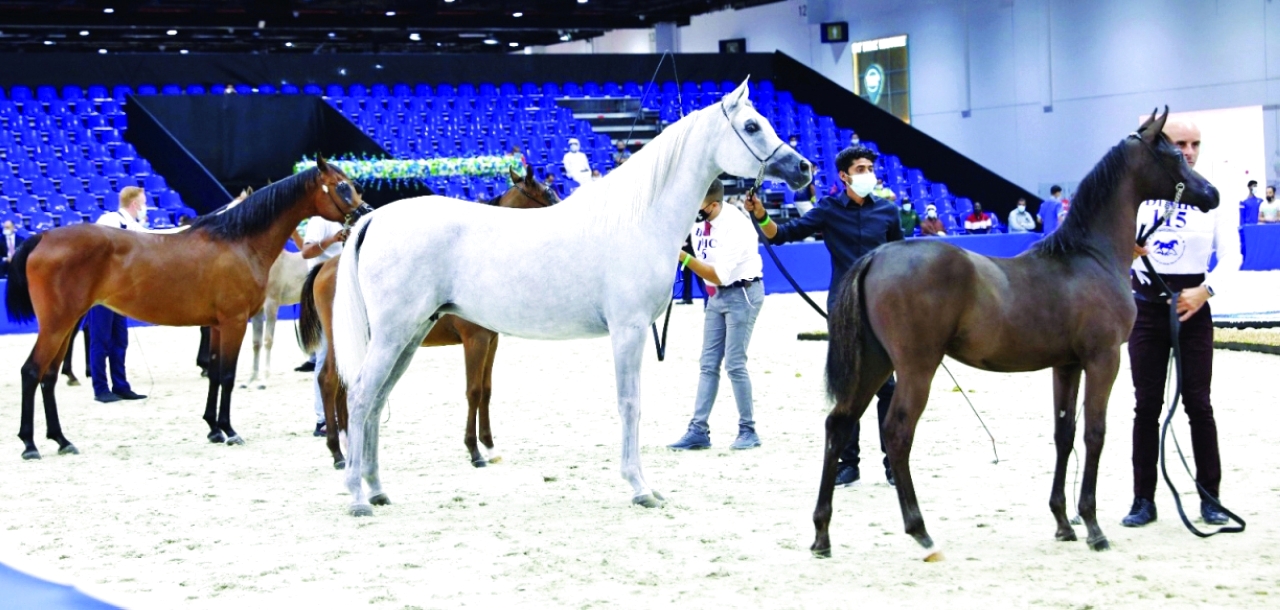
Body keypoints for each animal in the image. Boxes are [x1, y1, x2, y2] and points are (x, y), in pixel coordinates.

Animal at [8, 156, 371, 455]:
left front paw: (213, 428)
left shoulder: (216, 324)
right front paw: (229, 430)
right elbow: (228, 375)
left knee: (49, 376)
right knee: (30, 372)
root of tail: (43, 237)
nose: (365, 213)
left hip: (66, 324)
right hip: (57, 325)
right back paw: (29, 444)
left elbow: (214, 372)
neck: (238, 240)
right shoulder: (235, 321)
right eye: (342, 187)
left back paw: (61, 439)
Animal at [299, 163, 560, 468]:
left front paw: (489, 446)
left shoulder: (491, 342)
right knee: (329, 380)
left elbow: (486, 390)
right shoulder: (475, 341)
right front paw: (474, 450)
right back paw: (338, 452)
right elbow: (473, 390)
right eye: (547, 194)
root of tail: (327, 267)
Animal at [330, 77, 808, 514]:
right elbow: (630, 403)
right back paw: (357, 496)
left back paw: (377, 489)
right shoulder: (628, 331)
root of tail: (374, 219)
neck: (638, 219)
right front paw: (640, 487)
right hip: (393, 334)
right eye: (751, 126)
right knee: (360, 396)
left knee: (376, 400)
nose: (804, 169)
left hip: (409, 336)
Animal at [814, 108, 1213, 557]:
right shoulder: (1103, 360)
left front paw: (1063, 522)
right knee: (897, 434)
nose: (1212, 194)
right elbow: (1094, 434)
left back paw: (822, 535)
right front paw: (1093, 527)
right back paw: (921, 533)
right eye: (1175, 155)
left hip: (874, 363)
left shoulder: (1067, 365)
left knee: (838, 425)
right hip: (916, 368)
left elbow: (1064, 434)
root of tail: (877, 256)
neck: (1090, 257)